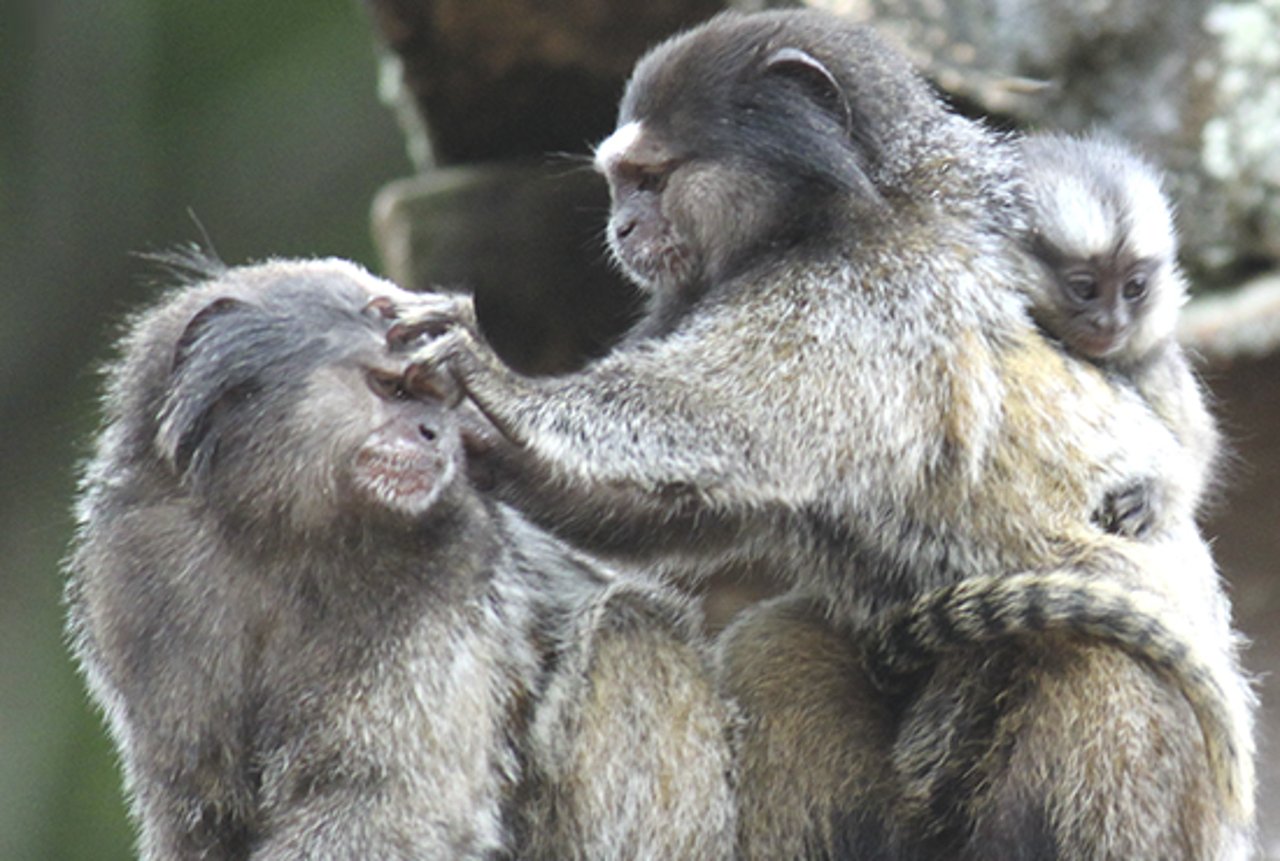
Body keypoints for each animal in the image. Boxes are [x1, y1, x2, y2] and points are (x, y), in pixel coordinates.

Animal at [64, 255, 737, 859]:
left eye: (436, 399)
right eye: (391, 388)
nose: (434, 433)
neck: (275, 533)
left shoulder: (450, 561)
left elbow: (386, 806)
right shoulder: (130, 574)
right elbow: (199, 817)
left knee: (632, 634)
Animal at [1018, 132, 1218, 537]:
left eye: (1134, 288)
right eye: (1085, 289)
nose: (1111, 322)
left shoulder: (1155, 368)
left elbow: (1195, 447)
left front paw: (1156, 495)